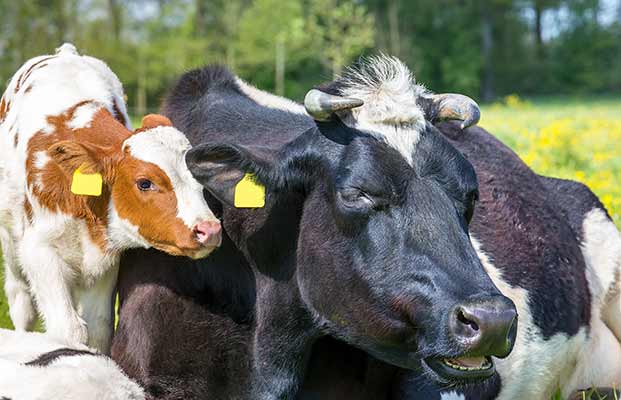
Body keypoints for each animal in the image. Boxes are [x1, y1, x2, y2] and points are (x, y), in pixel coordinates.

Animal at [0, 43, 223, 354]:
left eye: (199, 179)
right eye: (145, 183)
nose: (209, 230)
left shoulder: (107, 261)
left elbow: (99, 328)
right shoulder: (40, 253)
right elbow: (68, 329)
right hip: (11, 244)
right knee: (21, 302)